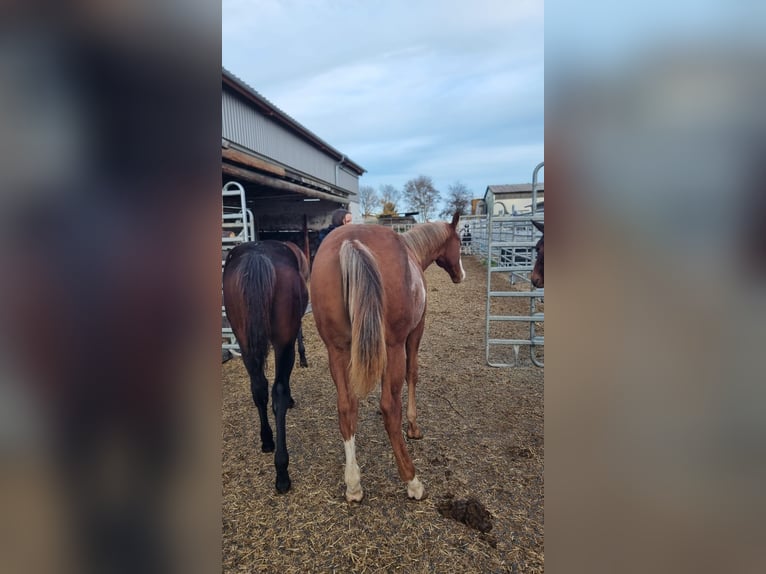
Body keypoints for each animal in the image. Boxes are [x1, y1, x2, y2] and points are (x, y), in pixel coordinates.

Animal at [222, 240, 310, 493]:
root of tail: (257, 256)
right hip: (282, 343)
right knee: (278, 390)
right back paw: (282, 472)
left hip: (244, 341)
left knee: (258, 388)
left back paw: (267, 440)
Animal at [310, 212, 465, 502]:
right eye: (460, 242)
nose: (461, 274)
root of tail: (351, 242)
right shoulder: (416, 331)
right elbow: (412, 373)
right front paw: (413, 426)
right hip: (392, 349)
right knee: (389, 408)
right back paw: (412, 480)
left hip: (336, 351)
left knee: (346, 407)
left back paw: (353, 484)